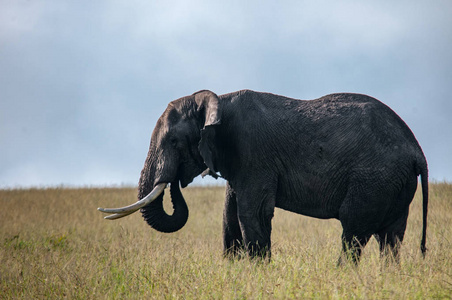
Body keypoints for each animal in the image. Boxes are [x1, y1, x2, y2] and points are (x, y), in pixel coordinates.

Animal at [98, 90, 428, 264]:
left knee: (354, 230)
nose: (176, 180)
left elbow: (251, 213)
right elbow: (230, 215)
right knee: (391, 237)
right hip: (394, 185)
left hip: (374, 179)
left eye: (174, 142)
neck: (218, 102)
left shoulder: (253, 155)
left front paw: (258, 271)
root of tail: (417, 150)